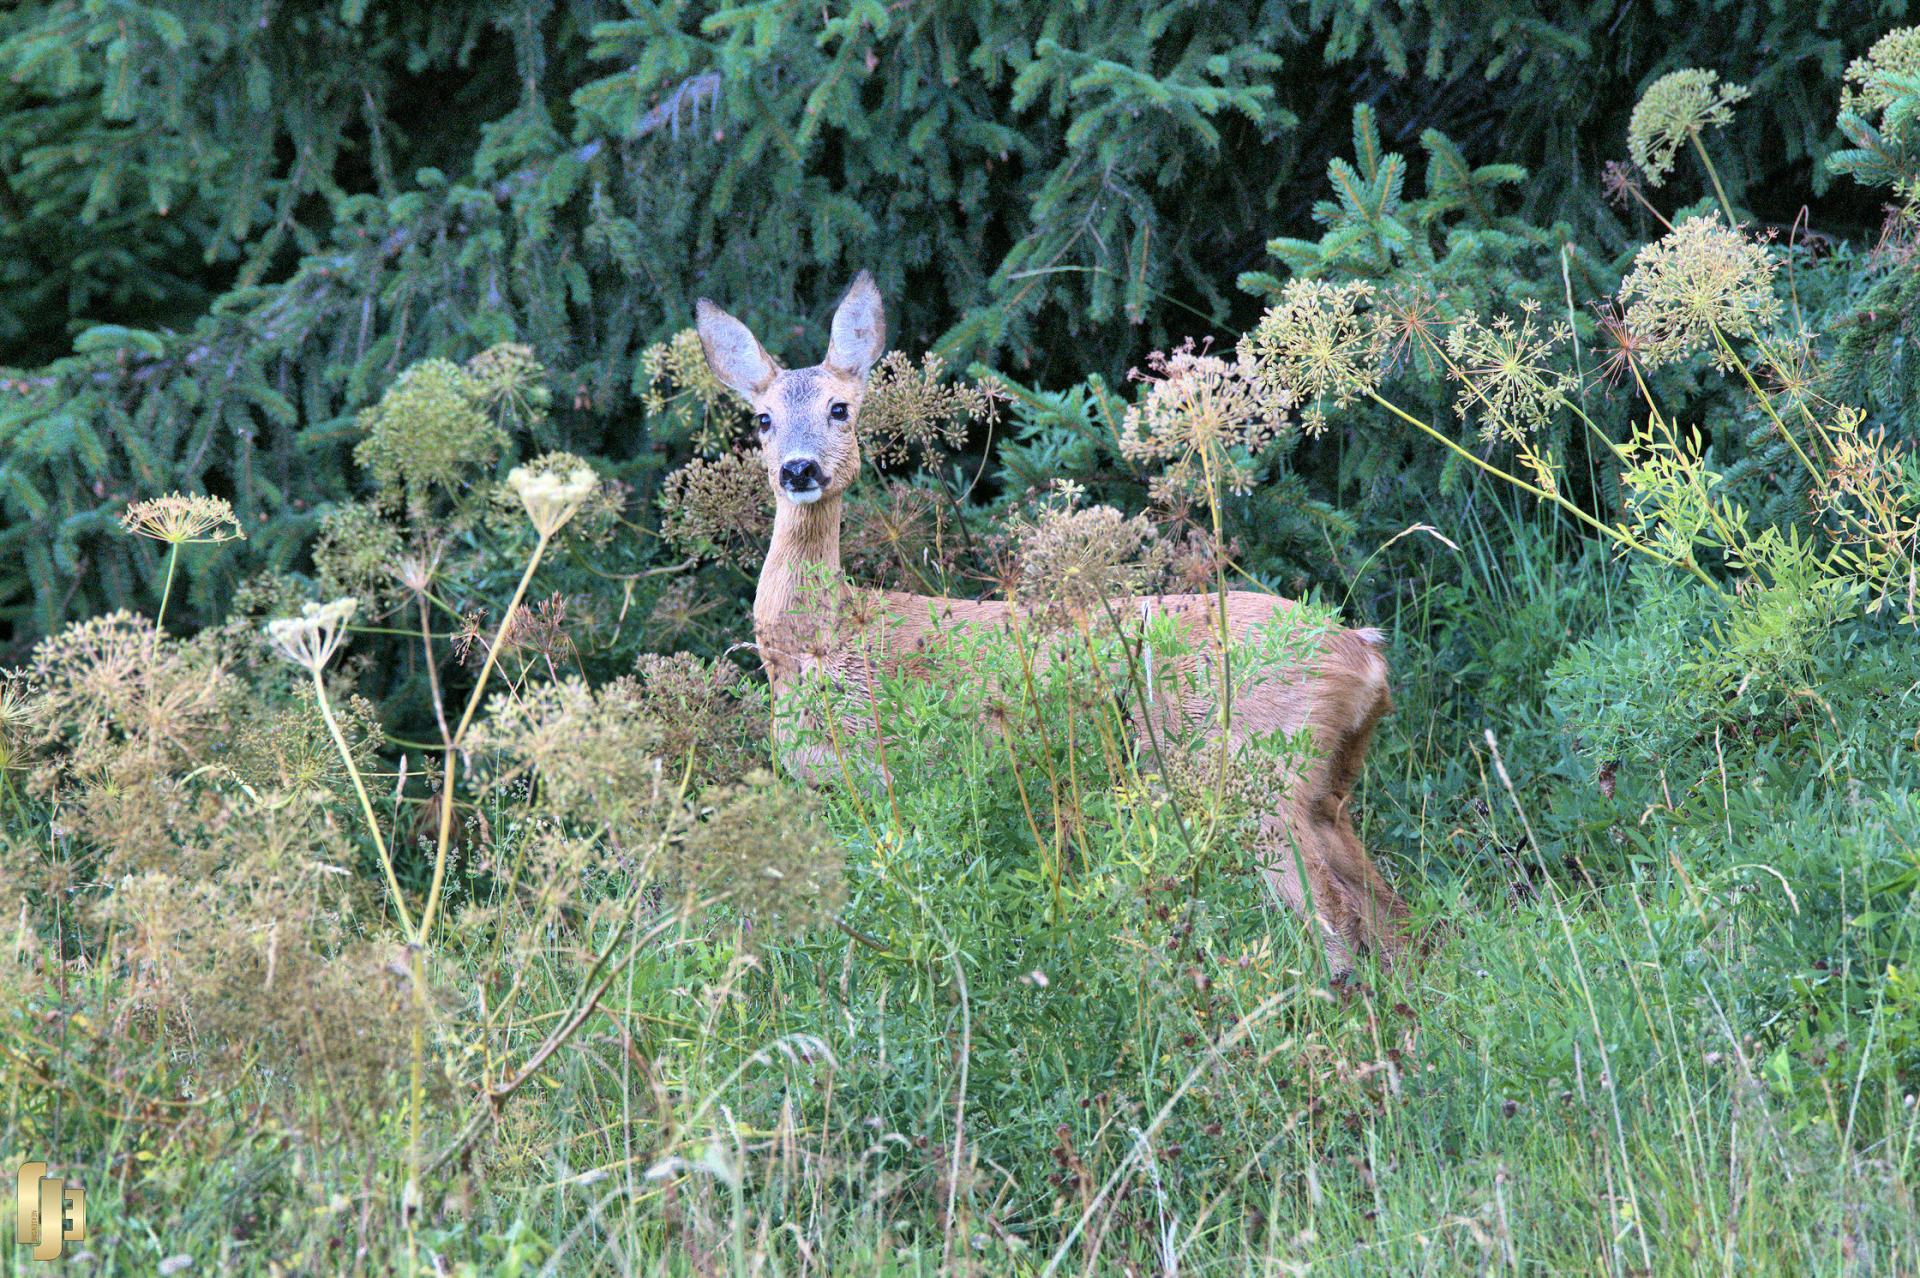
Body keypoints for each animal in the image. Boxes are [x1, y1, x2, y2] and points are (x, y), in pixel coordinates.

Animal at [695, 268, 1413, 967]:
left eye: (839, 408)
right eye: (762, 420)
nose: (798, 469)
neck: (820, 642)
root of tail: (1366, 656)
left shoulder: (888, 774)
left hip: (1257, 776)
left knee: (1335, 921)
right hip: (1327, 789)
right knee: (1393, 916)